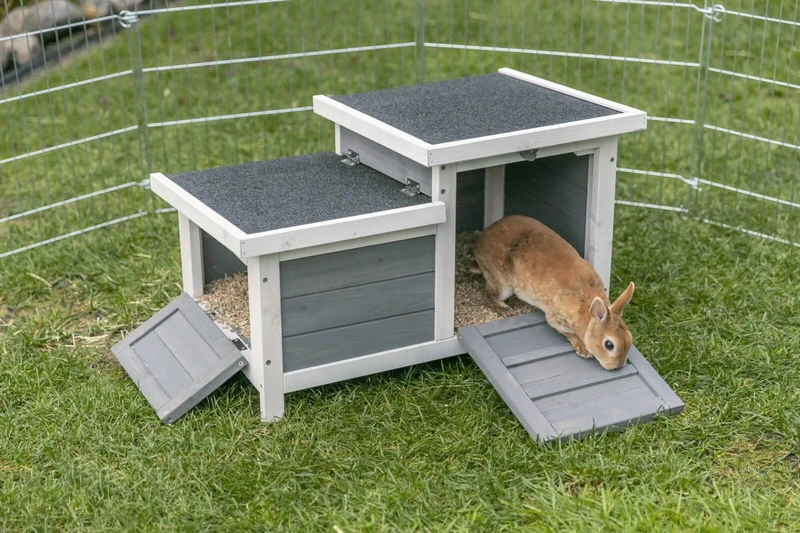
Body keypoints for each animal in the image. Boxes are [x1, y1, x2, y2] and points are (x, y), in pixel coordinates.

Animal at [469, 215, 635, 370]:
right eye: (609, 345)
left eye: (629, 338)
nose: (617, 367)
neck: (585, 310)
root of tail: (479, 243)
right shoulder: (554, 318)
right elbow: (569, 333)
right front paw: (583, 350)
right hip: (503, 285)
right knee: (490, 295)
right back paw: (506, 310)